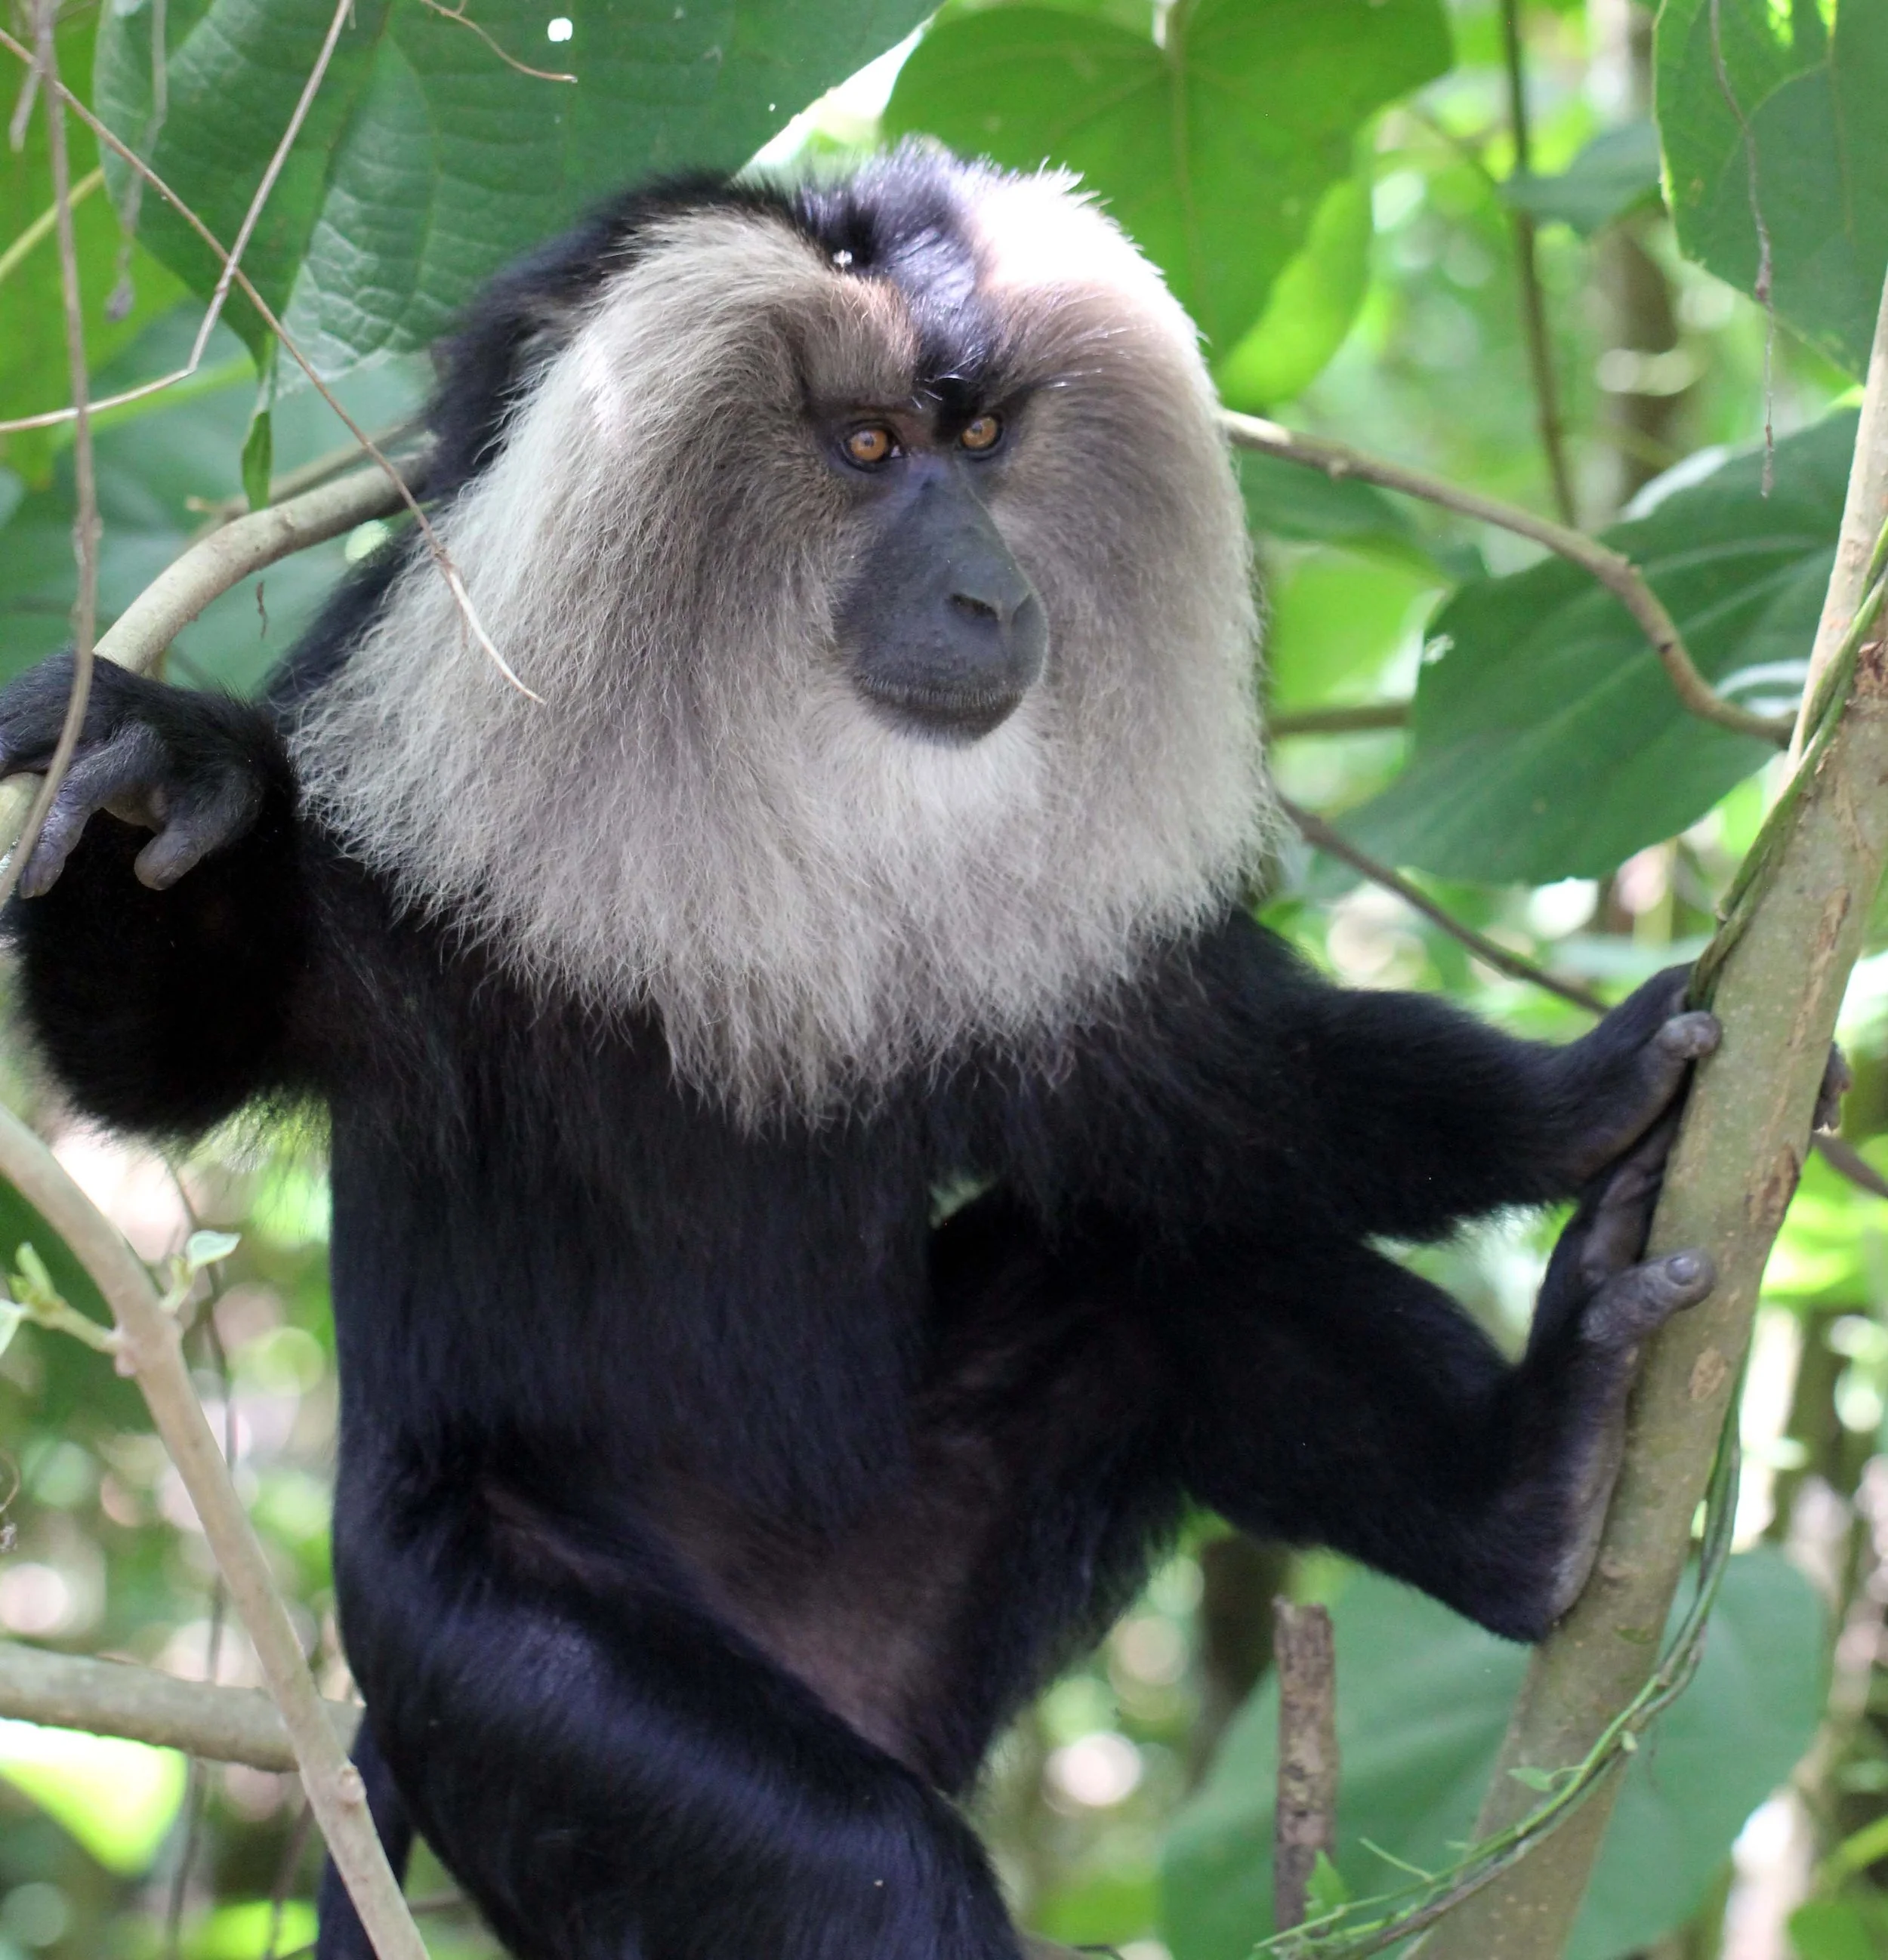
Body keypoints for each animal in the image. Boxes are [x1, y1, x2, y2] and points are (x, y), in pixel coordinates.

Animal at [0, 148, 1755, 1960]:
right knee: (864, 1867)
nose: (991, 590)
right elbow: (160, 1054)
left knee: (1155, 1278)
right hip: (490, 1669)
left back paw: (1529, 1503)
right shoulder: (398, 790)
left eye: (976, 442)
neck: (760, 741)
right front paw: (160, 776)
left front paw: (1579, 1101)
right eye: (865, 449)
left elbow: (1178, 1087)